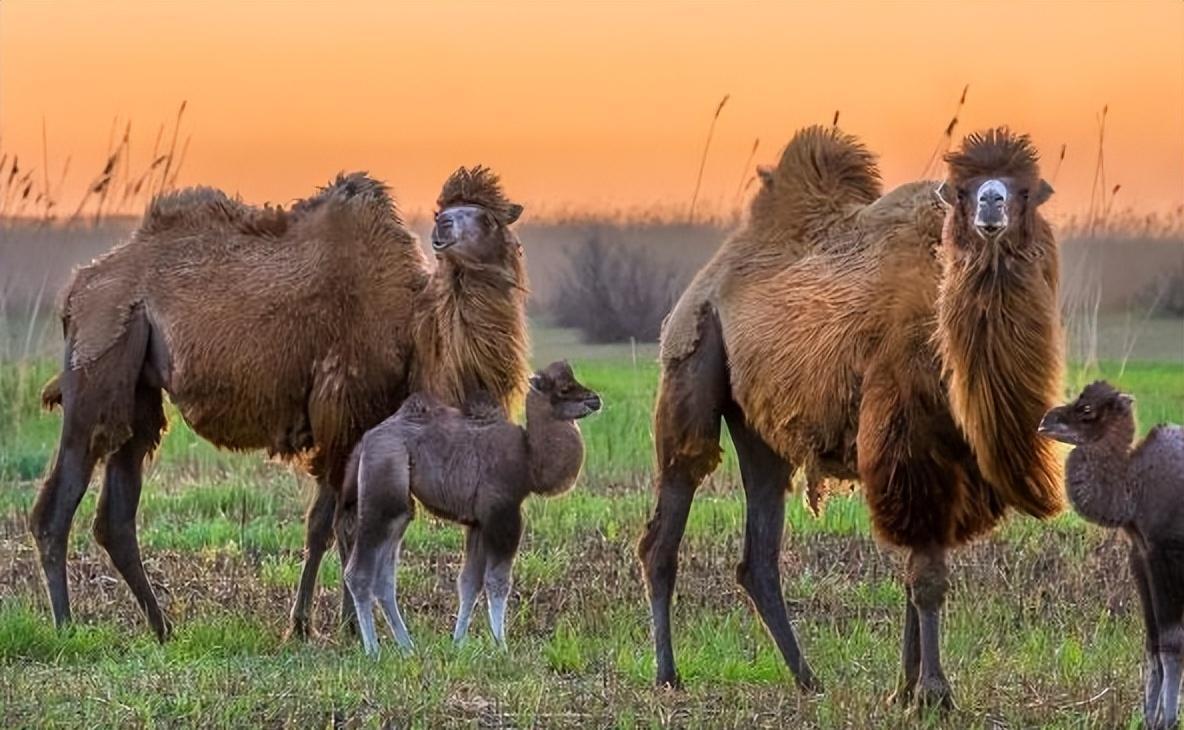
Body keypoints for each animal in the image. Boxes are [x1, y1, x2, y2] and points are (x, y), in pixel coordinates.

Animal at [30, 165, 530, 638]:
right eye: (444, 210)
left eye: (488, 217)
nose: (442, 227)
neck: (411, 333)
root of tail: (77, 290)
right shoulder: (344, 416)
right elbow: (341, 525)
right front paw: (336, 626)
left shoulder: (357, 428)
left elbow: (330, 524)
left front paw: (321, 623)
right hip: (99, 361)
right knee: (58, 501)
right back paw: (65, 625)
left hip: (139, 390)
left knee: (116, 510)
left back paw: (161, 627)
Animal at [343, 362, 601, 653]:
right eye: (564, 388)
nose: (595, 399)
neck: (528, 460)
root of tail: (364, 442)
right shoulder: (502, 514)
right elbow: (497, 582)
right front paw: (501, 646)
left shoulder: (478, 522)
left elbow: (469, 583)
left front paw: (458, 644)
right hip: (381, 490)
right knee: (359, 573)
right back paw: (373, 651)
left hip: (398, 509)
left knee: (385, 577)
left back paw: (408, 648)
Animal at [639, 126, 1065, 705]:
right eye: (961, 190)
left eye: (1024, 190)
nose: (990, 206)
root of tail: (705, 281)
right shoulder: (908, 440)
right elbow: (926, 576)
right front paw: (934, 694)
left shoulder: (949, 458)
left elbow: (916, 569)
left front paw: (906, 689)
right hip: (692, 360)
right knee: (669, 518)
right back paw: (668, 674)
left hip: (759, 430)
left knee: (759, 551)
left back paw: (807, 678)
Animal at [1041, 380, 1179, 728]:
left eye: (1087, 409)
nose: (1045, 421)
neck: (1132, 489)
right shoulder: (1140, 555)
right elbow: (1152, 642)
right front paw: (1150, 718)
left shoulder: (1166, 552)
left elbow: (1170, 641)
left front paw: (1167, 719)